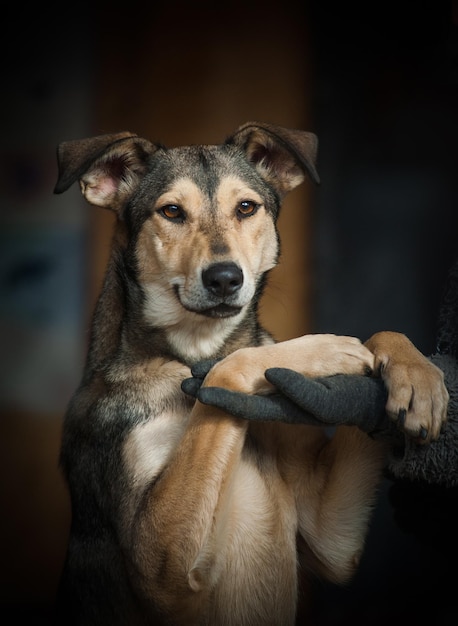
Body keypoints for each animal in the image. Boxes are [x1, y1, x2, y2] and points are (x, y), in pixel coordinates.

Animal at [53, 119, 448, 620]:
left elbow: (381, 335)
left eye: (246, 207)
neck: (192, 353)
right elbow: (229, 367)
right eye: (171, 212)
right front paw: (325, 349)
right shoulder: (157, 565)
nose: (224, 278)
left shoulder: (329, 537)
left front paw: (416, 378)